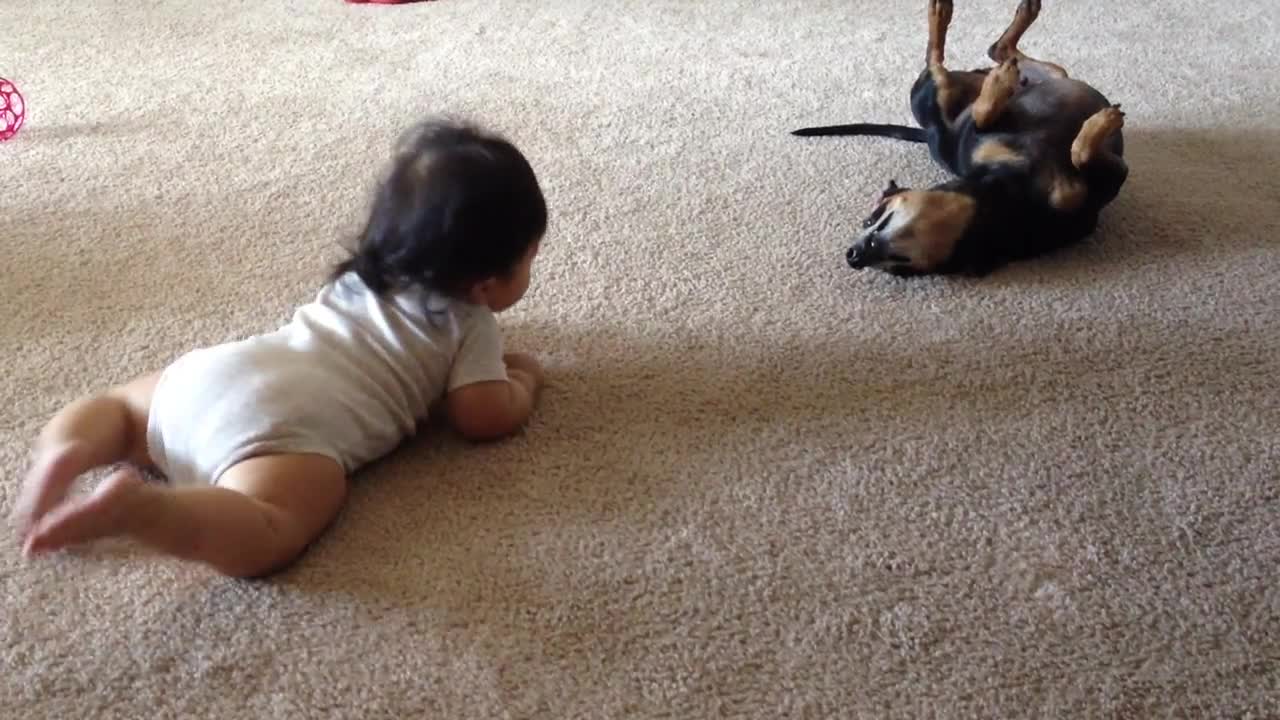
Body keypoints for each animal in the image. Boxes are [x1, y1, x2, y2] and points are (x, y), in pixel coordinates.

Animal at [793, 0, 1126, 275]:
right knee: (943, 61)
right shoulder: (1108, 177)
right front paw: (1103, 121)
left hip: (1040, 78)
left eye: (871, 218)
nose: (852, 255)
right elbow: (1079, 152)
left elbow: (986, 115)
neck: (1000, 203)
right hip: (931, 97)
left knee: (990, 55)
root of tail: (927, 133)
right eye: (898, 270)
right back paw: (952, 22)